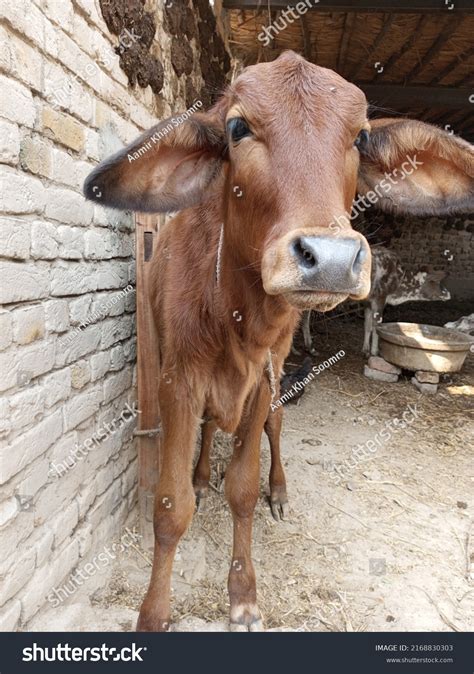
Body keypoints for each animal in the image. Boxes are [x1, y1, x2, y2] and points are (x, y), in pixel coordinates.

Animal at [85, 48, 474, 632]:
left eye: (360, 137)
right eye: (237, 127)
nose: (331, 258)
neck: (236, 317)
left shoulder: (264, 380)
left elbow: (243, 489)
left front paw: (243, 593)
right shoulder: (179, 381)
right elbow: (171, 505)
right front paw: (154, 613)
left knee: (276, 428)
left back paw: (280, 489)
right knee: (208, 434)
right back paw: (202, 473)